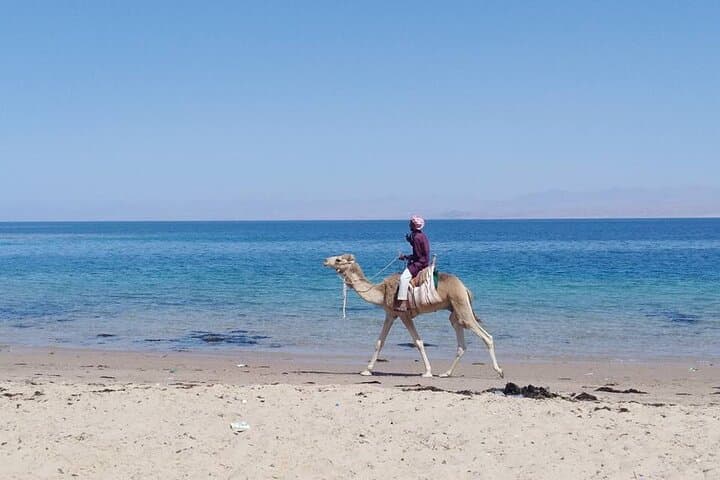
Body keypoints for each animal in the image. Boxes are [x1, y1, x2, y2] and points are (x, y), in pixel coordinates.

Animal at [323, 254, 503, 378]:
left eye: (338, 259)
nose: (325, 260)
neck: (381, 292)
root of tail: (464, 287)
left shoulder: (404, 315)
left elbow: (418, 342)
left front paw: (428, 372)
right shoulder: (390, 314)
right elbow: (380, 342)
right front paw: (366, 370)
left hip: (461, 305)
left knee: (486, 337)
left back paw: (499, 371)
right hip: (455, 311)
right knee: (461, 342)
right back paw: (446, 373)